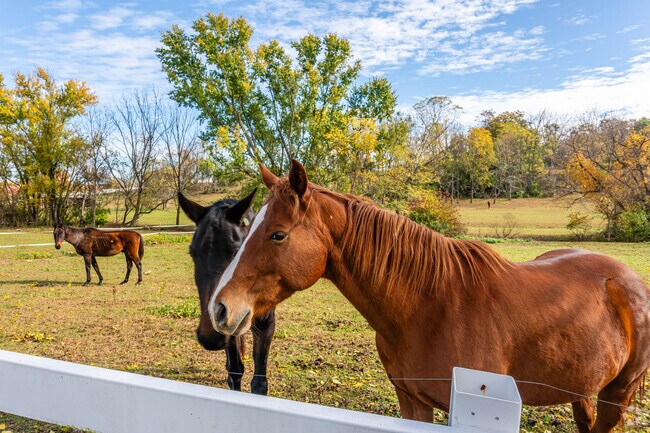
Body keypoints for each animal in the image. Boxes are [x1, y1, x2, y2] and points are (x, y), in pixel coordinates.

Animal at [178, 191, 275, 395]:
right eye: (192, 253)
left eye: (237, 251)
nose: (210, 337)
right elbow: (235, 371)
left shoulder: (266, 323)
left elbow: (259, 383)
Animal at [208, 160, 650, 433]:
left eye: (277, 234)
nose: (220, 308)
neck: (428, 306)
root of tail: (628, 280)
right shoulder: (412, 402)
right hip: (583, 391)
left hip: (616, 395)